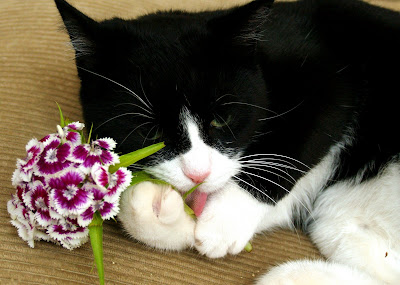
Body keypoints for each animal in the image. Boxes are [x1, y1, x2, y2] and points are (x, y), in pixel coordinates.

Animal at [54, 0, 400, 282]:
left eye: (221, 119)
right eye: (149, 132)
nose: (198, 173)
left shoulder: (330, 76)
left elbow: (296, 146)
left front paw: (225, 219)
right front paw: (158, 210)